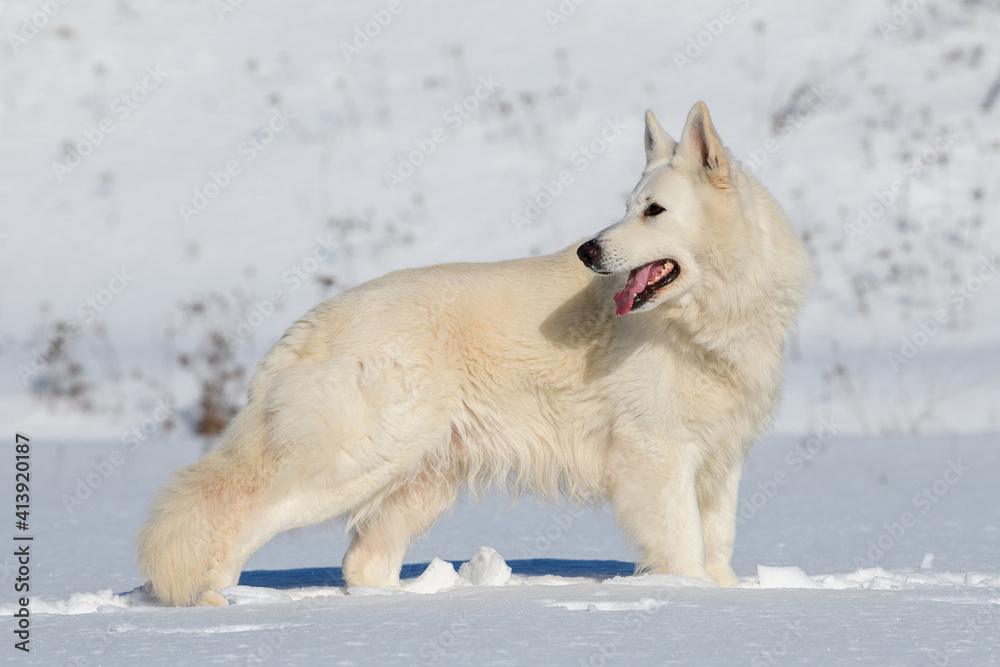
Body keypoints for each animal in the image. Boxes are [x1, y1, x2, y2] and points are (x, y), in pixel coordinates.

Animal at [139, 100, 812, 604]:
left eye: (654, 211)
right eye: (625, 208)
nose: (588, 251)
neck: (706, 320)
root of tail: (308, 325)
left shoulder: (721, 460)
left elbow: (717, 542)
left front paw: (723, 595)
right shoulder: (658, 456)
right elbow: (684, 546)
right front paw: (691, 597)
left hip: (418, 482)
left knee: (362, 564)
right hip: (357, 463)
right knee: (239, 520)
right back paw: (215, 601)